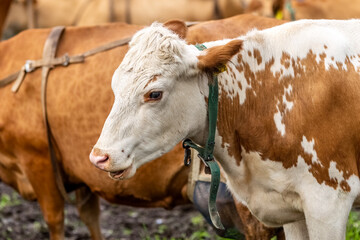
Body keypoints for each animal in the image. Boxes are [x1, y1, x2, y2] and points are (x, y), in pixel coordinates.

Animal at [0, 14, 284, 240]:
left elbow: (55, 221)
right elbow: (90, 218)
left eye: (154, 94)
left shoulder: (39, 165)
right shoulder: (83, 180)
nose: (99, 156)